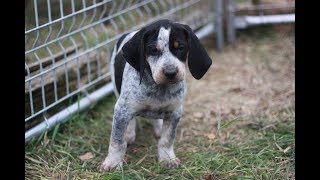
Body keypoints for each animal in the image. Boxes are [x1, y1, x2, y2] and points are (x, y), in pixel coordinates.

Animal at [100, 18, 212, 172]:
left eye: (180, 48)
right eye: (153, 50)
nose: (171, 73)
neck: (159, 88)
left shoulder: (174, 112)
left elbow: (167, 139)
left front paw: (167, 158)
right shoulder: (123, 109)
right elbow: (117, 141)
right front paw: (113, 163)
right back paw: (129, 133)